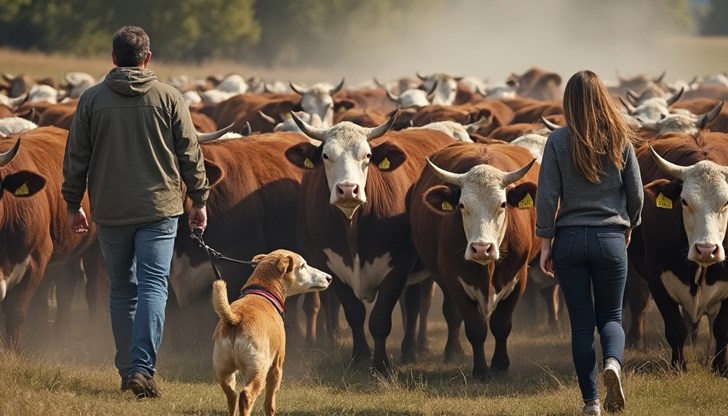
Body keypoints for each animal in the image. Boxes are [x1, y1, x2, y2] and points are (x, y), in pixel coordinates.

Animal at [210, 250, 332, 416]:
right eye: (303, 265)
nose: (329, 278)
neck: (263, 291)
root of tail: (235, 318)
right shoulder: (276, 366)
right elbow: (270, 403)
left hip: (224, 370)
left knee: (232, 395)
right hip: (258, 370)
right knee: (246, 396)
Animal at [282, 112, 456, 376]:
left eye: (367, 155)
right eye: (326, 155)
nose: (347, 190)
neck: (352, 226)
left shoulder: (398, 267)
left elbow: (380, 319)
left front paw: (381, 364)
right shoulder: (330, 267)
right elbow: (355, 313)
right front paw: (361, 356)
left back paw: (439, 351)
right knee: (412, 304)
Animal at [410, 142, 540, 380]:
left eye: (503, 204)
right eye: (462, 205)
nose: (481, 248)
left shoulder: (519, 277)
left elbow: (501, 324)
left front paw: (500, 365)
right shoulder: (453, 278)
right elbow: (475, 327)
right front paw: (481, 371)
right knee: (452, 314)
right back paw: (453, 352)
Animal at [628, 132, 728, 376]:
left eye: (726, 202)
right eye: (684, 201)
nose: (706, 249)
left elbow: (722, 329)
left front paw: (721, 367)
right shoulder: (657, 279)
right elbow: (675, 327)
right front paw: (678, 366)